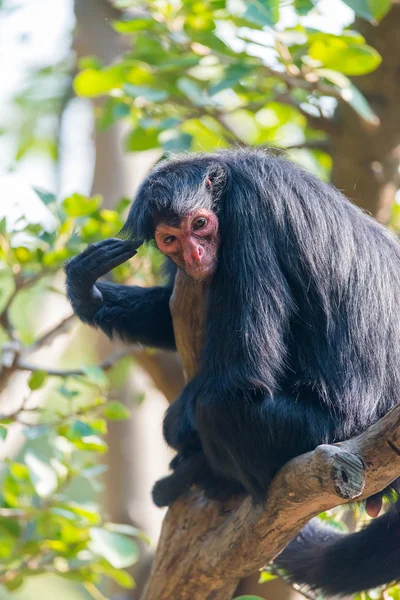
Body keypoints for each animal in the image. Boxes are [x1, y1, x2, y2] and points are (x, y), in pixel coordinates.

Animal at [65, 149, 400, 596]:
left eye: (200, 224)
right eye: (170, 239)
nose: (195, 255)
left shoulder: (249, 218)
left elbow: (244, 380)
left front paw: (179, 423)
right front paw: (86, 291)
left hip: (319, 429)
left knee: (215, 407)